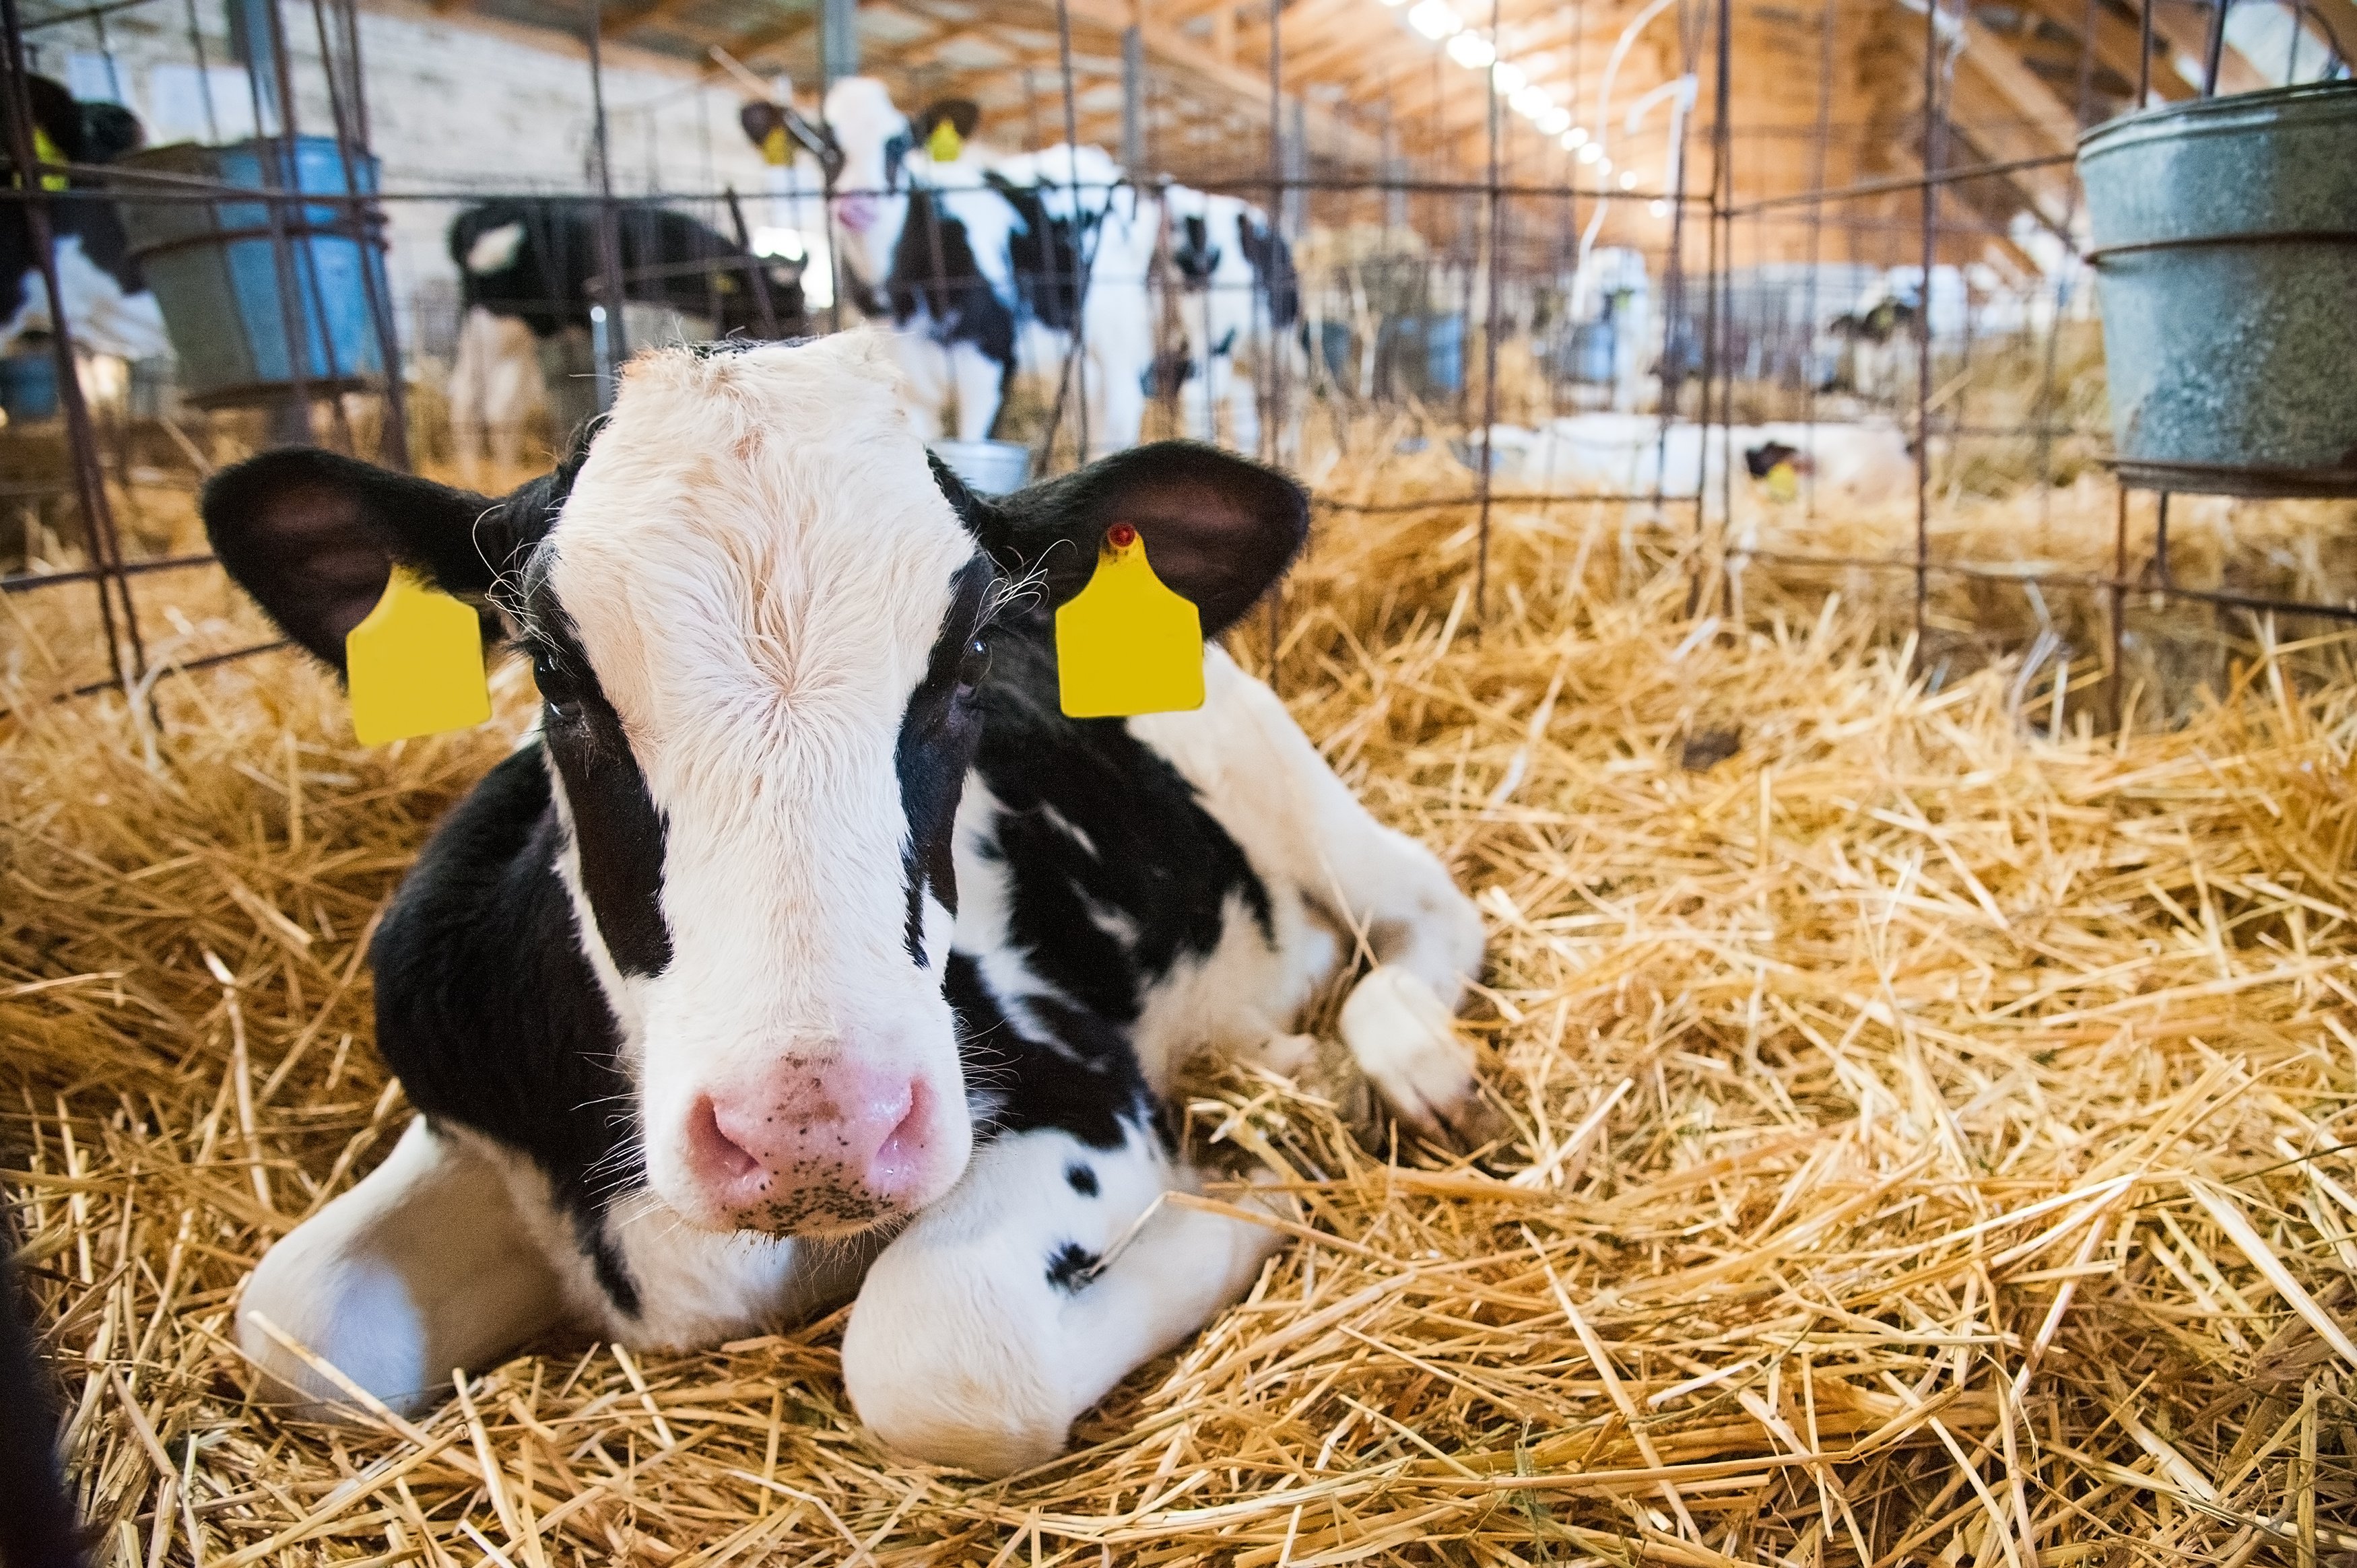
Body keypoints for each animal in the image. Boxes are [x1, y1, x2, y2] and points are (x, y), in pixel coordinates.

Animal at [207, 332, 1490, 1480]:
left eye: (973, 656)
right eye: (554, 675)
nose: (809, 1128)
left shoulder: (1083, 1088)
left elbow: (943, 1347)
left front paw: (1250, 1194)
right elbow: (293, 1321)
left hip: (1284, 778)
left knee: (1426, 902)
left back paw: (1401, 1060)